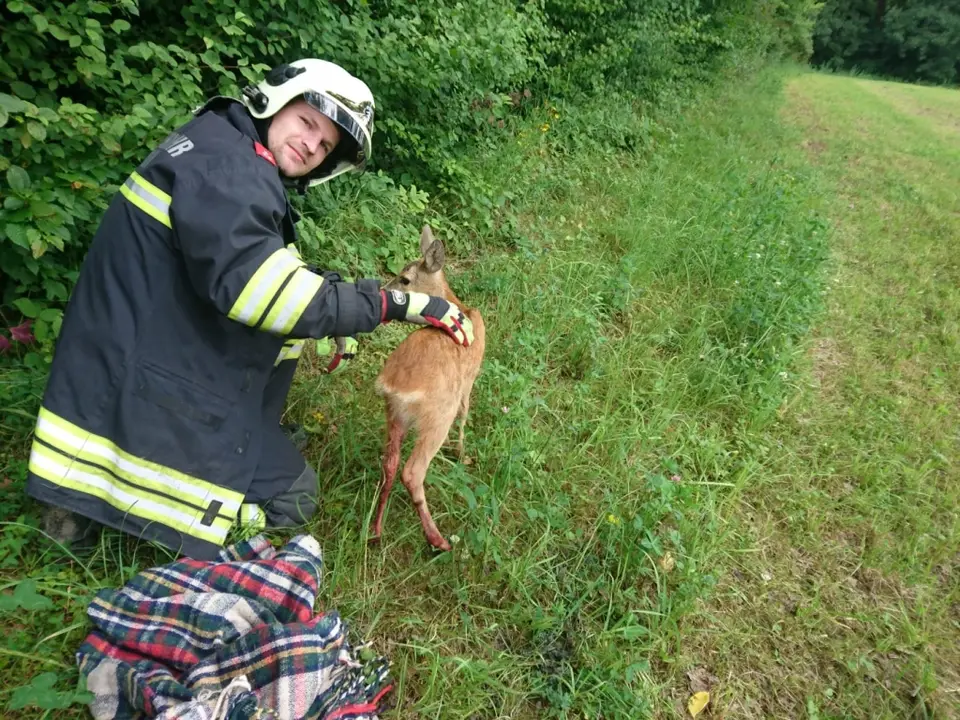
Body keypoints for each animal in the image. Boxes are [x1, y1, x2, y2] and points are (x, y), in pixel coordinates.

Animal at [370, 225, 486, 551]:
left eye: (405, 278)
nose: (383, 290)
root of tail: (395, 386)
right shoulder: (469, 379)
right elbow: (465, 412)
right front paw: (461, 452)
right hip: (437, 416)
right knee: (412, 472)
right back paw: (438, 539)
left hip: (393, 414)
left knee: (389, 465)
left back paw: (376, 531)